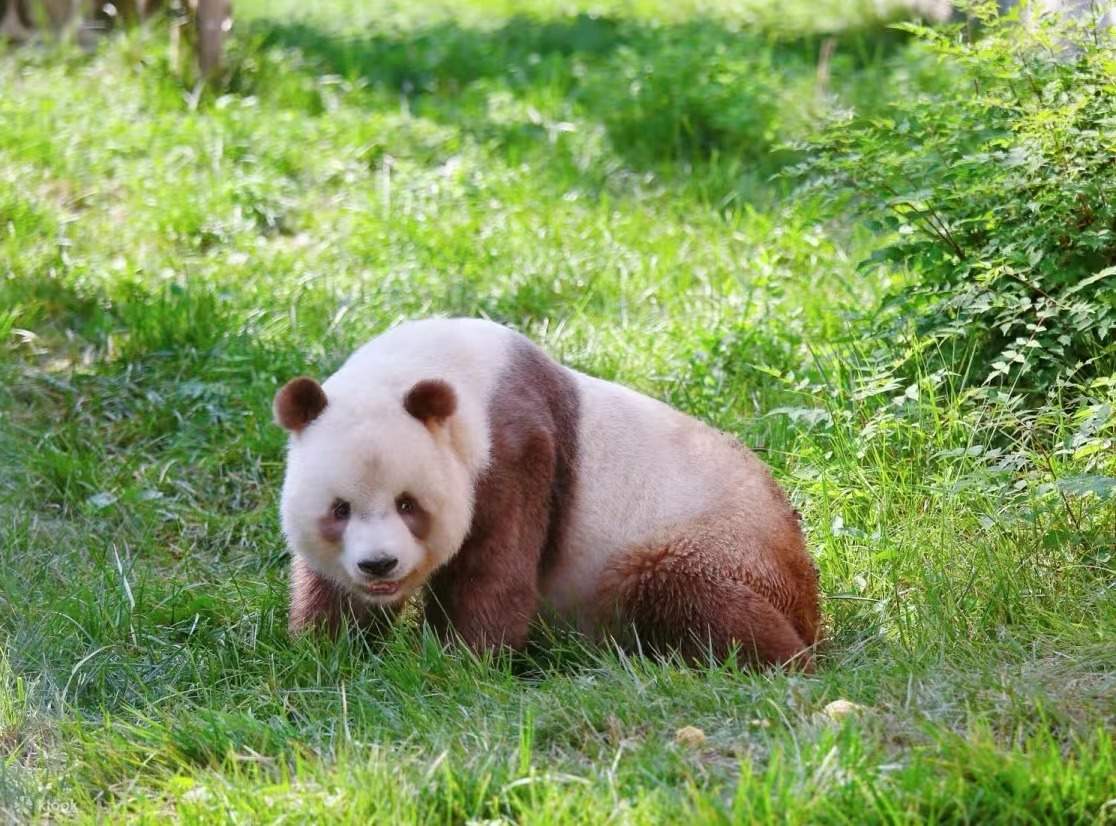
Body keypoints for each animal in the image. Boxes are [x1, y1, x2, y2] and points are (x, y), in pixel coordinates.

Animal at [274, 318, 820, 669]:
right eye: (339, 510)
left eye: (408, 504)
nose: (379, 565)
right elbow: (335, 596)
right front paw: (327, 651)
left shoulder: (514, 453)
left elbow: (493, 572)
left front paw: (462, 664)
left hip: (725, 540)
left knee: (673, 582)